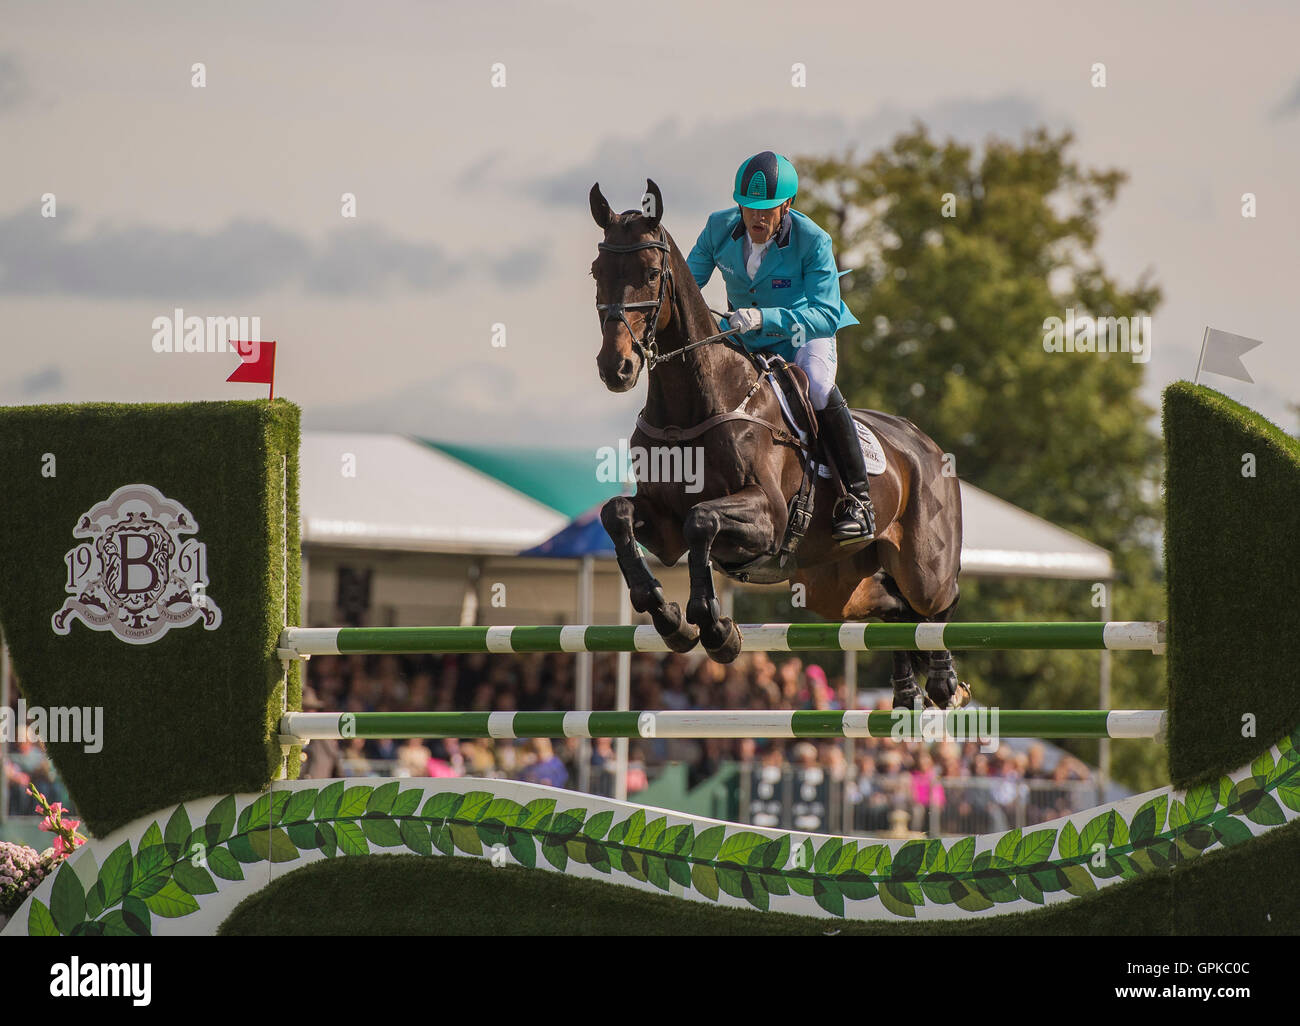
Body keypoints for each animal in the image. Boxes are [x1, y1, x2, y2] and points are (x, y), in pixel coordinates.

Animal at [590, 180, 967, 707]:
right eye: (597, 272)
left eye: (649, 273)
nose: (616, 368)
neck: (694, 405)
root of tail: (926, 444)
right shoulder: (661, 527)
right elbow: (619, 514)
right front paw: (672, 621)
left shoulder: (768, 514)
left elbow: (701, 520)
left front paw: (715, 629)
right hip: (835, 583)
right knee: (894, 610)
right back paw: (907, 691)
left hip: (921, 566)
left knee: (936, 602)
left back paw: (945, 682)